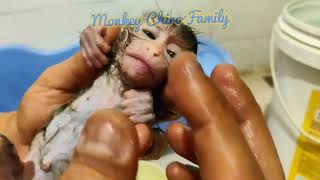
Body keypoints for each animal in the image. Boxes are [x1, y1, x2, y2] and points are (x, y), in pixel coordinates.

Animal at [18, 14, 198, 180]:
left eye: (171, 53)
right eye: (149, 35)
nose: (153, 51)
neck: (121, 84)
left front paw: (141, 105)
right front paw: (91, 39)